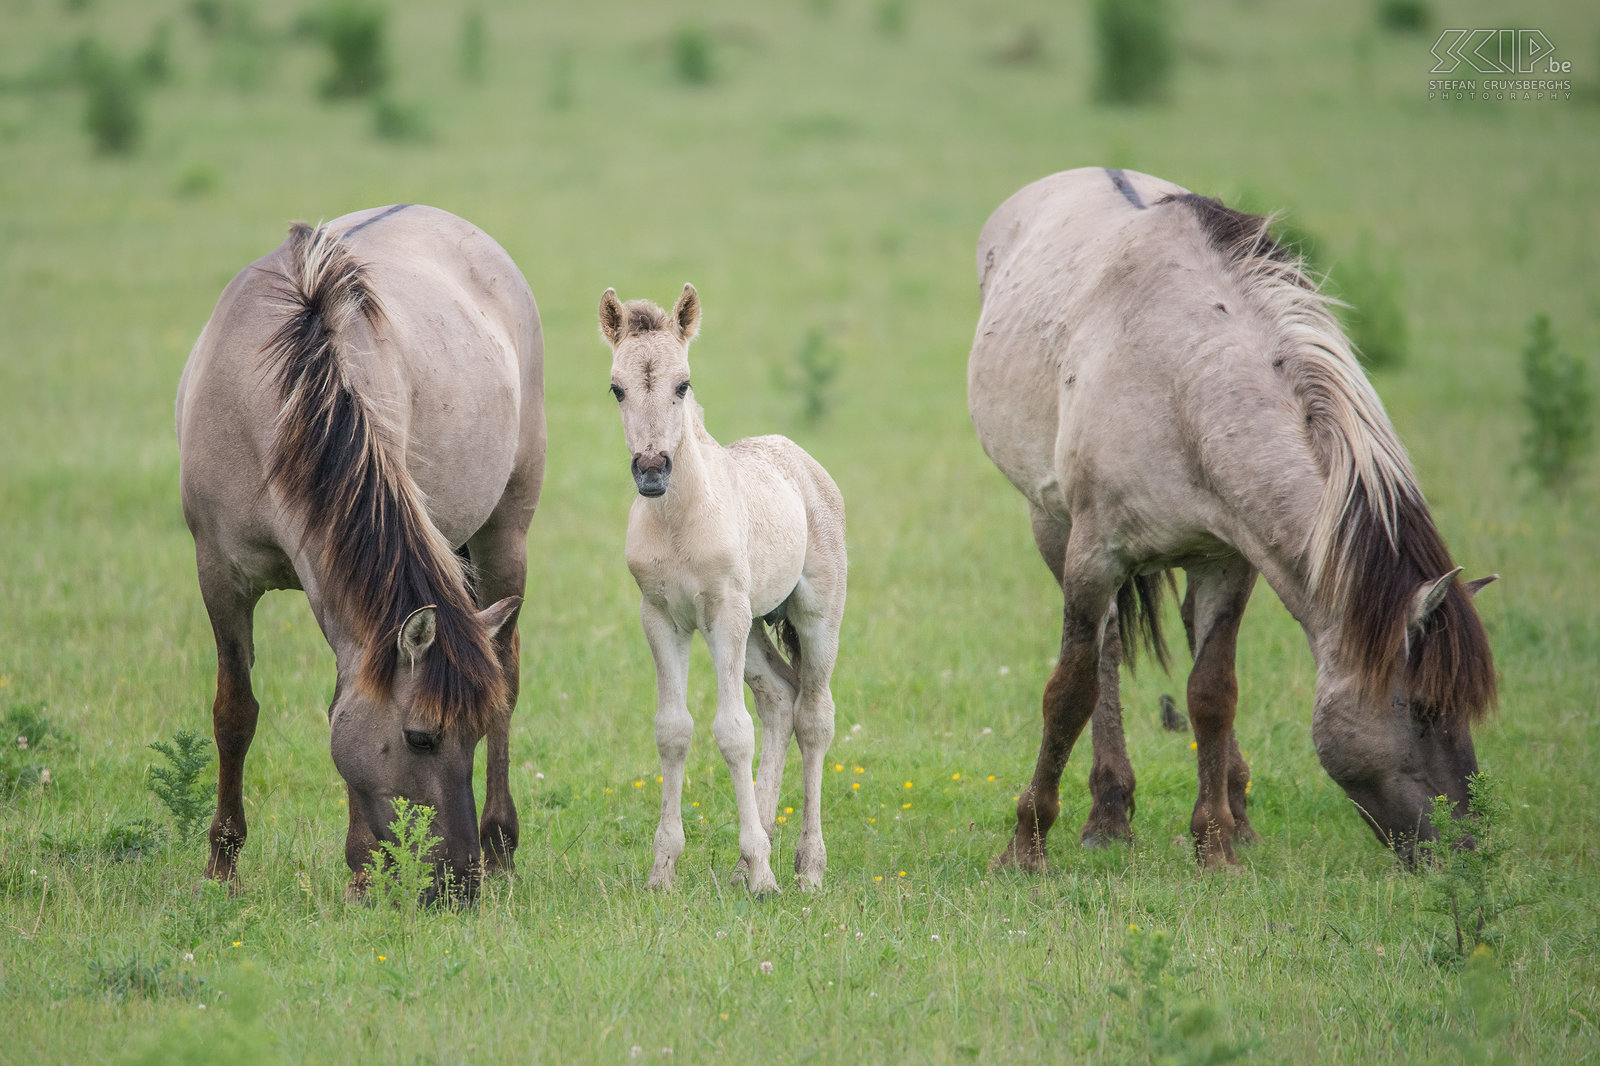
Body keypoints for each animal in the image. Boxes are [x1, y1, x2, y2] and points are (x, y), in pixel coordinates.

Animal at [177, 204, 544, 896]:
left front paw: (362, 871)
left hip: (505, 531)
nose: (462, 883)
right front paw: (222, 867)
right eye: (420, 738)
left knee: (507, 673)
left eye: (471, 735)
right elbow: (235, 712)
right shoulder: (218, 573)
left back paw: (502, 842)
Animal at [601, 281, 851, 889]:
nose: (652, 469)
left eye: (683, 383)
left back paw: (806, 866)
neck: (678, 522)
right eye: (617, 389)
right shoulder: (662, 618)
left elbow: (733, 732)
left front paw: (765, 875)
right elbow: (674, 730)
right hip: (754, 625)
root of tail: (802, 459)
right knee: (780, 700)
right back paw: (746, 861)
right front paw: (663, 871)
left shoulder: (724, 613)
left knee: (814, 716)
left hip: (811, 617)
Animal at [960, 166, 1497, 864]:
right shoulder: (1093, 555)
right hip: (1051, 525)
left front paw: (1215, 845)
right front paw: (1027, 843)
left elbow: (1212, 693)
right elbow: (1070, 691)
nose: (1468, 848)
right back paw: (1108, 814)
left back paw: (1233, 810)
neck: (1183, 387)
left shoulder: (1228, 560)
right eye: (1424, 711)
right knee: (1105, 649)